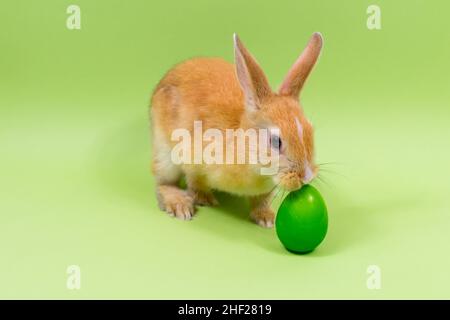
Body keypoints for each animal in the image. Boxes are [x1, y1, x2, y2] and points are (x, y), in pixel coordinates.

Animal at [149, 33, 322, 228]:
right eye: (276, 141)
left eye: (310, 130)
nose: (307, 177)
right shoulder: (192, 156)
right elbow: (195, 181)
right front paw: (204, 199)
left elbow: (261, 200)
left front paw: (266, 219)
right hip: (165, 154)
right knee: (163, 183)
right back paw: (180, 205)